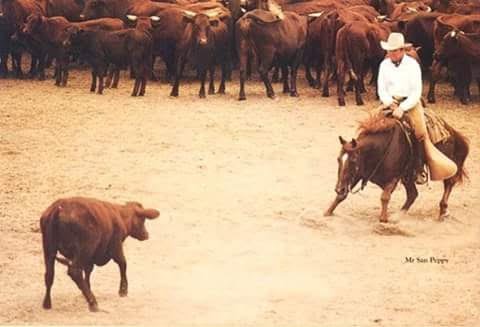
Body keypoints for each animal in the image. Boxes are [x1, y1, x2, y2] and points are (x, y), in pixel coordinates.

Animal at [326, 115, 468, 223]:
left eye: (353, 160)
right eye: (338, 159)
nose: (338, 188)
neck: (379, 149)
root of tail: (452, 132)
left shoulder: (393, 178)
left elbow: (384, 197)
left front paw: (383, 219)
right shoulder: (358, 174)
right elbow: (341, 196)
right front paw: (327, 212)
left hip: (447, 165)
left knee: (449, 184)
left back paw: (443, 211)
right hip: (408, 177)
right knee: (413, 194)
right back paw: (399, 214)